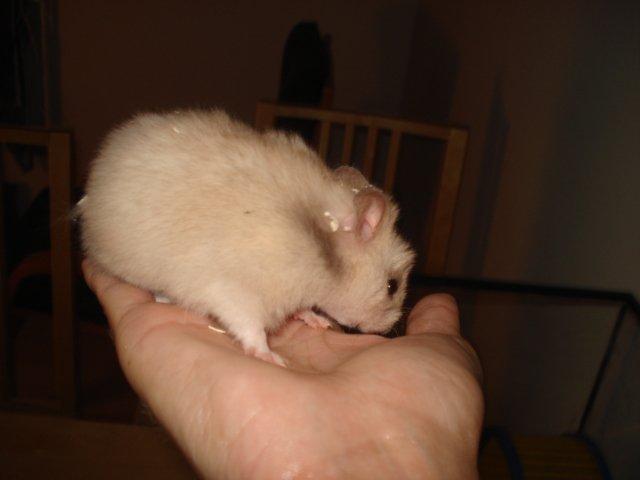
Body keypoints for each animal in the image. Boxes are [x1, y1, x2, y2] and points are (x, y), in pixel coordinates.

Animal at [79, 109, 415, 365]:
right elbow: (251, 327)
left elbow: (302, 308)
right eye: (392, 286)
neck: (320, 247)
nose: (387, 329)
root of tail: (91, 188)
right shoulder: (236, 292)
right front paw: (272, 358)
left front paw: (316, 320)